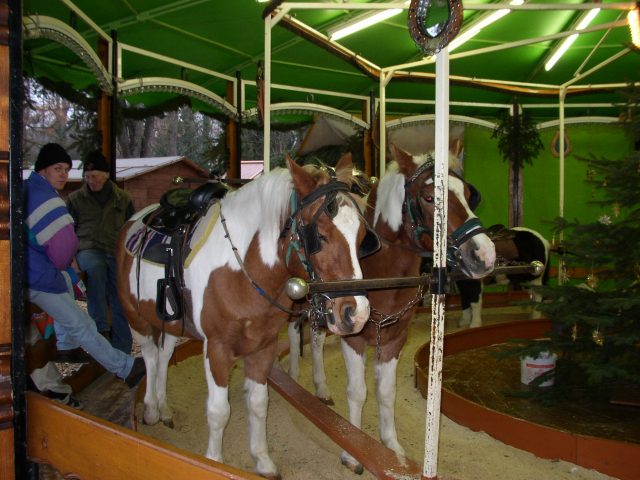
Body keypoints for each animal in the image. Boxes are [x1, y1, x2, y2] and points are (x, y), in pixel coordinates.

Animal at [116, 153, 377, 479]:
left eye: (362, 236)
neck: (243, 267)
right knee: (150, 357)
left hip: (172, 321)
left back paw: (163, 408)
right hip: (136, 317)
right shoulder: (217, 348)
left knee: (163, 357)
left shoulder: (263, 346)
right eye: (320, 236)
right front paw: (213, 462)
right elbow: (218, 412)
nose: (357, 313)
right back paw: (151, 408)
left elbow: (258, 403)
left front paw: (262, 460)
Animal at [288, 145, 496, 473]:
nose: (485, 254)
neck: (382, 272)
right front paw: (353, 450)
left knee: (318, 340)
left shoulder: (395, 337)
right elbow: (358, 392)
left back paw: (320, 388)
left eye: (467, 193)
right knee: (295, 332)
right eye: (429, 198)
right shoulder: (354, 337)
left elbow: (386, 392)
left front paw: (391, 446)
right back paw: (295, 379)